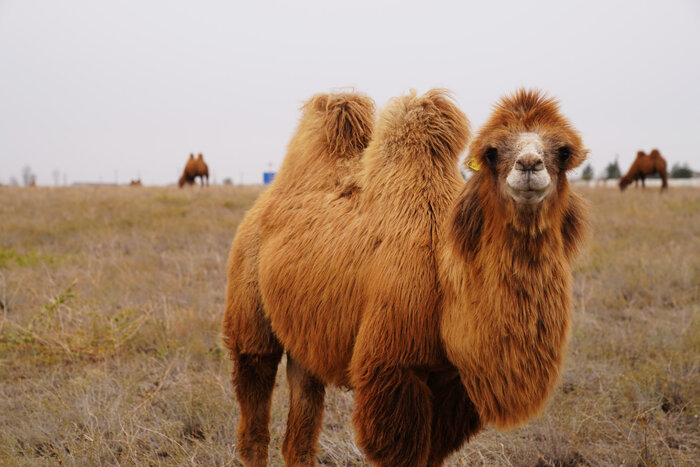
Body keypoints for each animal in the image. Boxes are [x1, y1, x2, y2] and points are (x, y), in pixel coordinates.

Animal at [224, 89, 592, 466]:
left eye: (564, 152)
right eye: (491, 152)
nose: (530, 165)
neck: (445, 283)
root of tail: (262, 204)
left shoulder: (453, 382)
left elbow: (432, 453)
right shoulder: (393, 369)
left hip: (305, 333)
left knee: (300, 425)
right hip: (248, 302)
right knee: (254, 388)